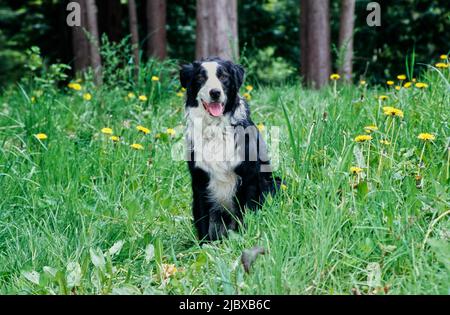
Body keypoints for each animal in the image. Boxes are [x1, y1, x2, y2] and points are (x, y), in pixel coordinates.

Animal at [178, 56, 278, 242]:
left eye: (223, 76)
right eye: (200, 77)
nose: (215, 92)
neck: (216, 128)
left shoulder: (249, 178)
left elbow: (246, 213)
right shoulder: (200, 180)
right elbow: (202, 219)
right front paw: (204, 246)